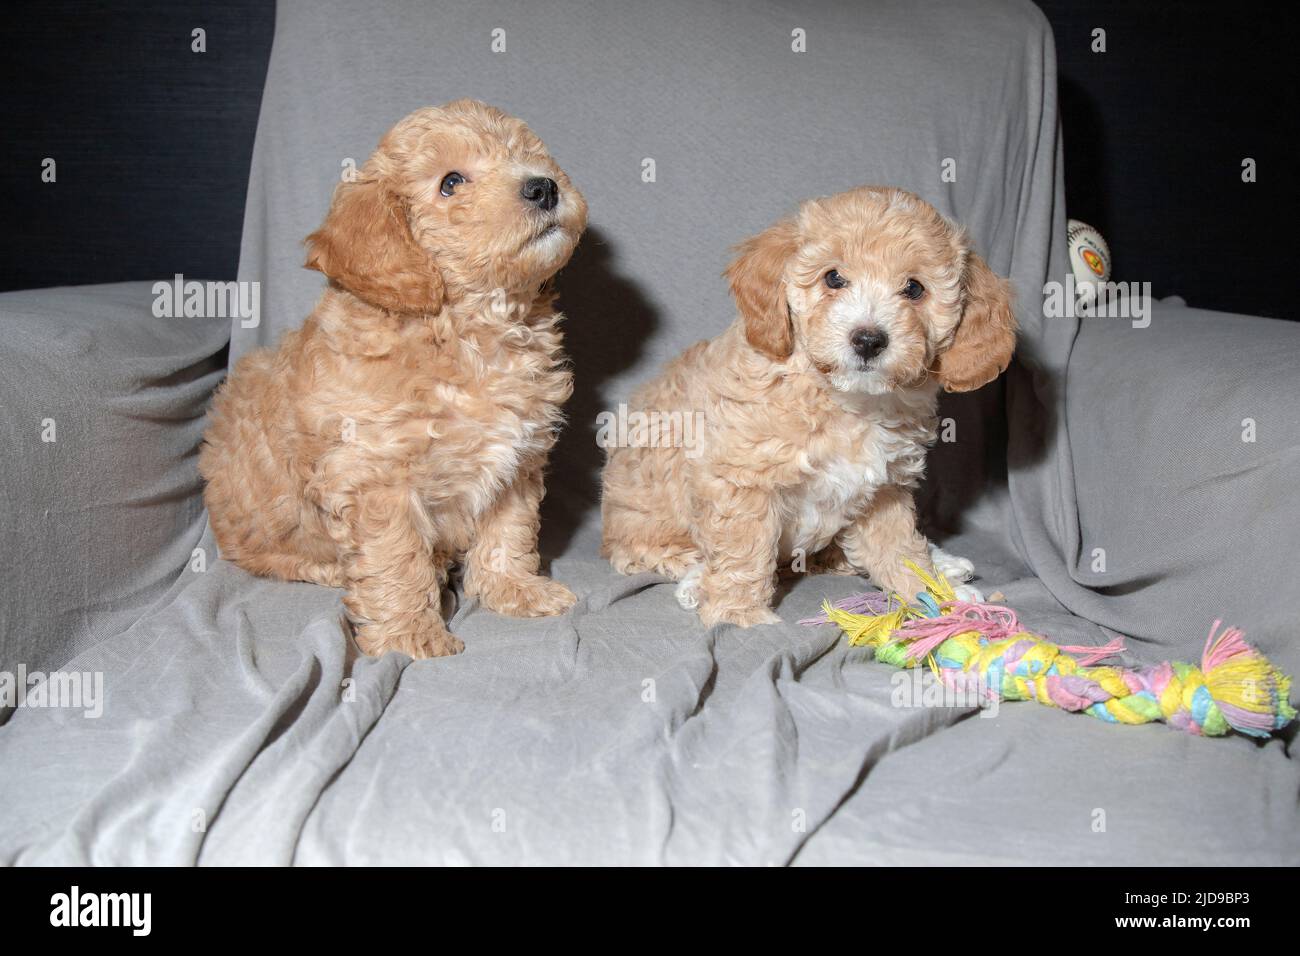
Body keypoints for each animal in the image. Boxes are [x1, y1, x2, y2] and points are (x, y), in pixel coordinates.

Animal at [200, 102, 587, 658]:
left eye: (524, 153)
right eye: (451, 182)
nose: (543, 187)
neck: (470, 332)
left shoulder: (517, 459)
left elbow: (509, 530)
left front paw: (515, 589)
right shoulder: (377, 477)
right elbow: (396, 558)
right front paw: (411, 633)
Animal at [598, 187, 1013, 632]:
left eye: (914, 289)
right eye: (833, 278)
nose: (868, 340)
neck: (848, 401)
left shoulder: (883, 491)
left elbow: (899, 548)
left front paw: (930, 596)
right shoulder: (742, 478)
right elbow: (742, 550)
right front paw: (737, 615)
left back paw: (946, 568)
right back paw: (695, 583)